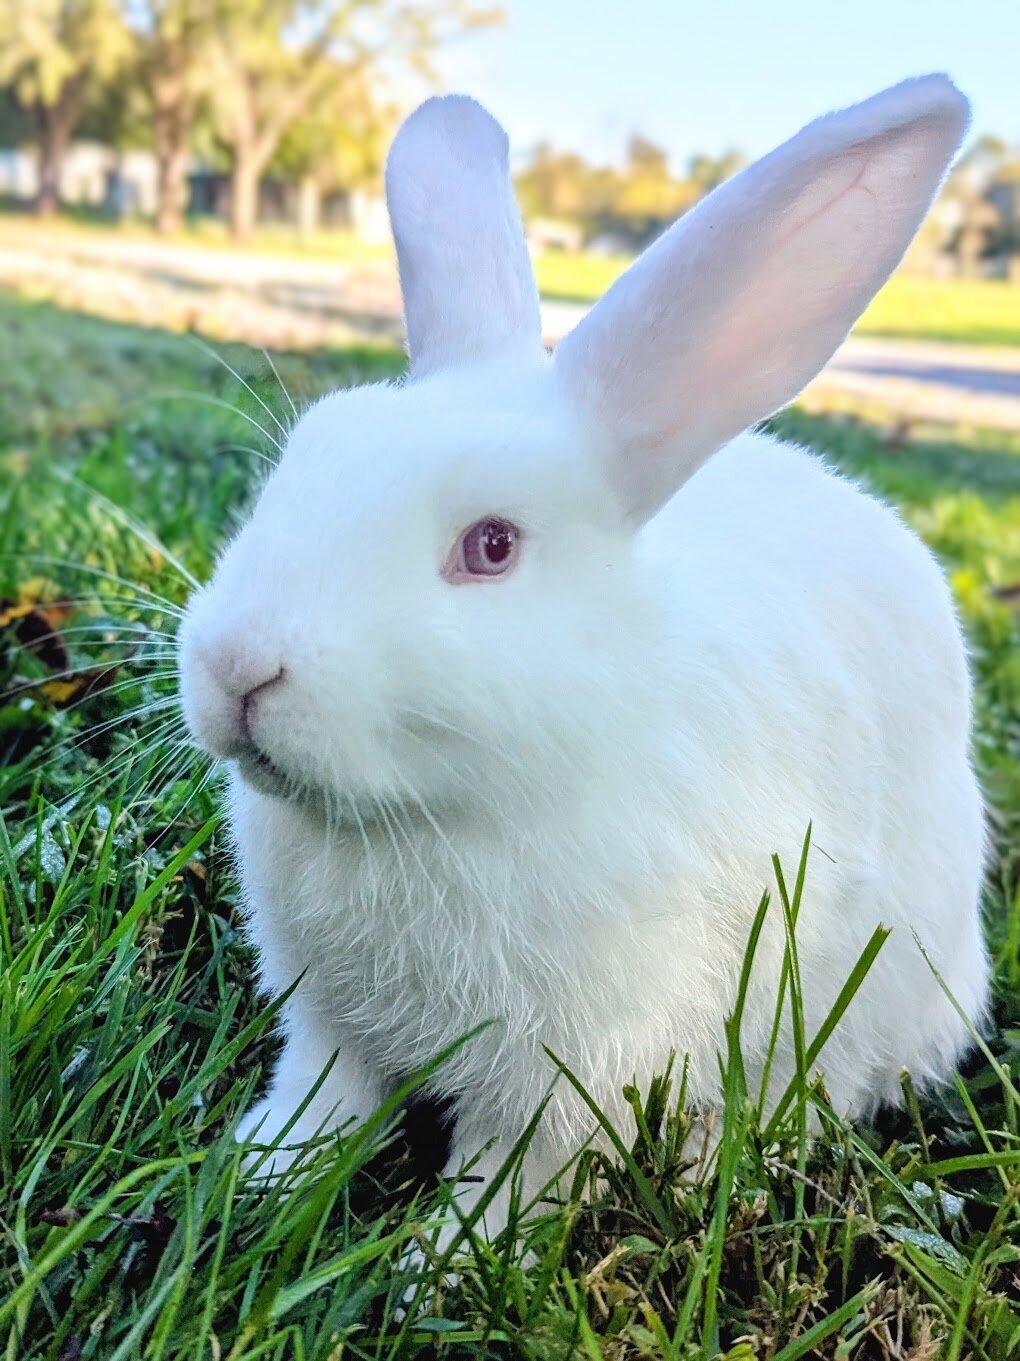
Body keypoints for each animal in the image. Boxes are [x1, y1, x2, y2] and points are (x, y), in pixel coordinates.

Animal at [178, 75, 989, 1244]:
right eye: (304, 460)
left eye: (493, 546)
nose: (239, 667)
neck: (431, 817)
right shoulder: (326, 1016)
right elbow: (324, 1096)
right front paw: (259, 1173)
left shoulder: (571, 1076)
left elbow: (517, 1173)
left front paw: (443, 1260)